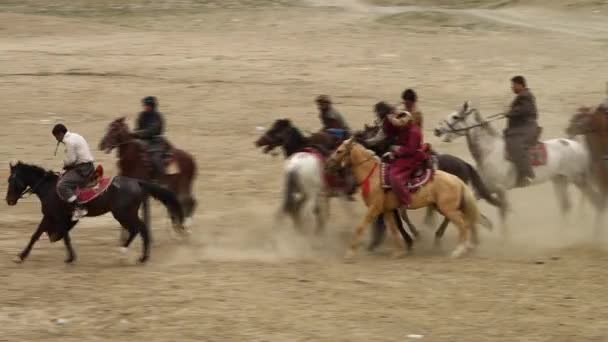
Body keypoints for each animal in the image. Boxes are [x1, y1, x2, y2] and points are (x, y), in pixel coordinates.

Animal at [5, 162, 185, 264]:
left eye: (11, 180)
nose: (8, 201)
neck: (49, 188)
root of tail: (137, 182)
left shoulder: (55, 216)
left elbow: (59, 236)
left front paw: (70, 257)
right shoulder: (53, 217)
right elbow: (40, 235)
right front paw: (21, 256)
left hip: (124, 214)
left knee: (139, 229)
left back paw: (129, 254)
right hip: (125, 214)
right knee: (139, 229)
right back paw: (138, 256)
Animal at [328, 138, 480, 260]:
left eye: (339, 151)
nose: (329, 163)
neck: (373, 176)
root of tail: (457, 180)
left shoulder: (374, 208)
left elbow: (361, 227)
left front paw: (350, 253)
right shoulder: (387, 210)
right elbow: (394, 229)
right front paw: (399, 252)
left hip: (448, 209)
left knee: (463, 224)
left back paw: (458, 251)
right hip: (443, 207)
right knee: (465, 222)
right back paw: (465, 246)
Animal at [434, 99, 600, 232]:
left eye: (455, 116)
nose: (437, 130)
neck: (490, 151)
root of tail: (577, 145)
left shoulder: (501, 190)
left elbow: (503, 213)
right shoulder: (484, 189)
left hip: (577, 179)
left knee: (592, 198)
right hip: (560, 180)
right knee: (566, 206)